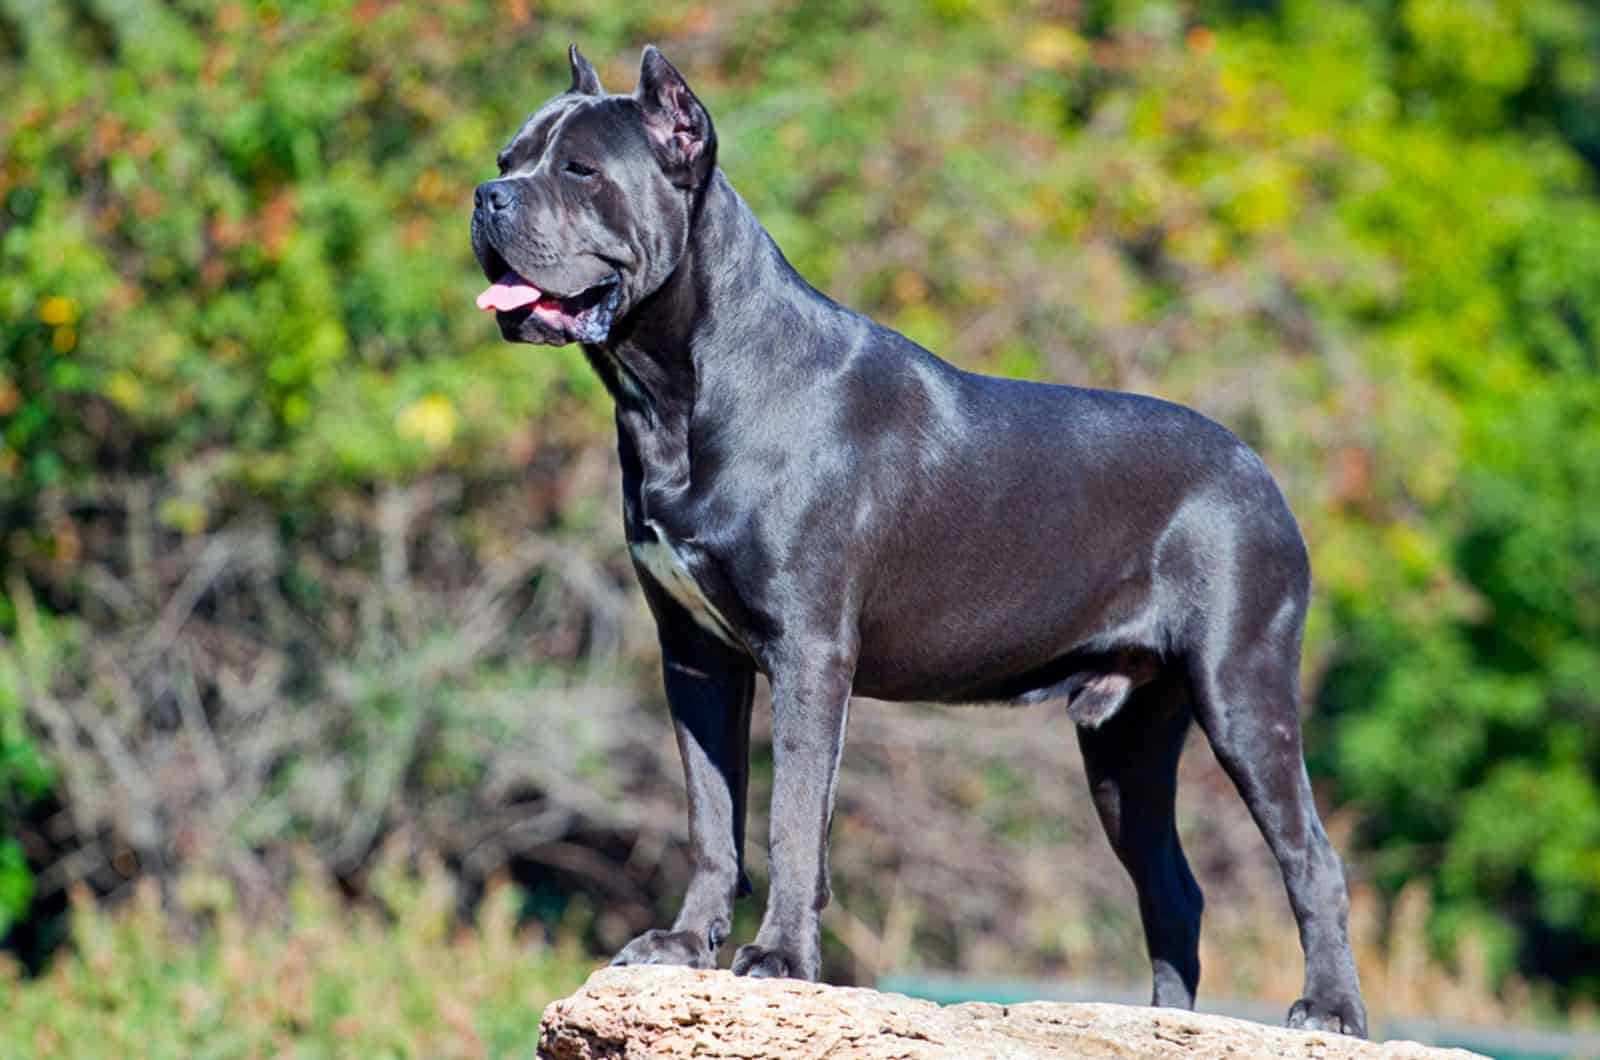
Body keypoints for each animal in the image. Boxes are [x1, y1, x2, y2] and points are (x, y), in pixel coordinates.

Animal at [467, 45, 1369, 1031]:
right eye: (511, 157)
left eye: (579, 170)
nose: (487, 195)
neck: (672, 391)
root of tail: (1259, 470)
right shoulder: (695, 658)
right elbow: (712, 813)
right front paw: (680, 945)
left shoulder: (810, 652)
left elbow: (791, 819)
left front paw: (780, 960)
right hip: (1127, 739)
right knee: (1173, 891)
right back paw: (1163, 1023)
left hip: (1242, 688)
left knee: (1312, 859)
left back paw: (1328, 1011)